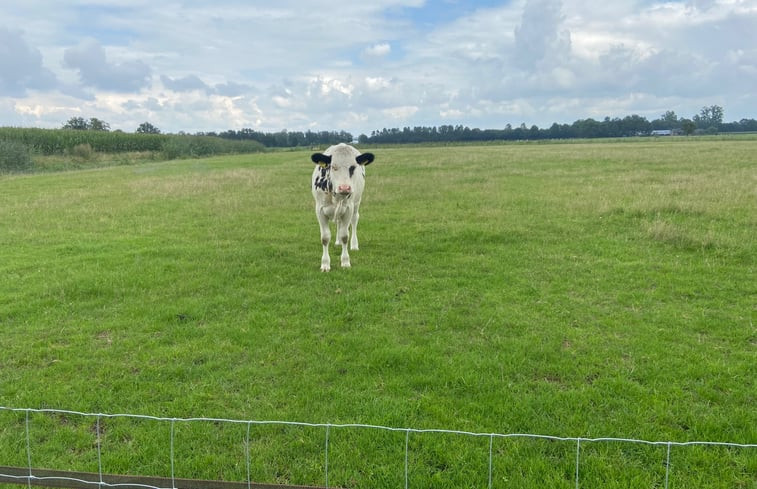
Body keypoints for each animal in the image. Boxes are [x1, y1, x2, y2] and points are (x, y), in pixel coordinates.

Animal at [310, 143, 376, 272]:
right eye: (333, 167)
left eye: (353, 167)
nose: (344, 188)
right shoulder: (320, 210)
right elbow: (325, 237)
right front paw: (325, 264)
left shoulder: (348, 209)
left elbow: (345, 235)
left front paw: (345, 262)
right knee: (338, 223)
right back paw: (338, 242)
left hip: (356, 204)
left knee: (354, 220)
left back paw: (354, 245)